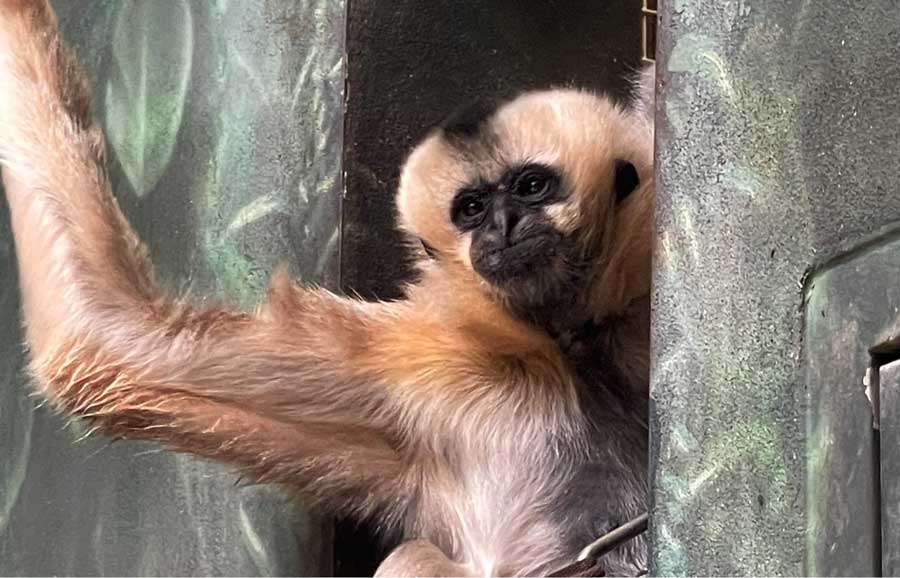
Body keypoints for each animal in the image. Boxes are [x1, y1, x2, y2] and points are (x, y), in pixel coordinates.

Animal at [0, 1, 654, 576]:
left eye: (531, 186)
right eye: (471, 209)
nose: (504, 226)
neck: (568, 348)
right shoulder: (424, 368)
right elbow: (104, 339)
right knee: (416, 558)